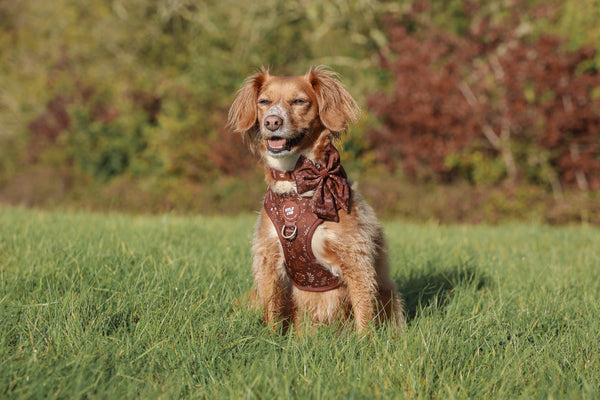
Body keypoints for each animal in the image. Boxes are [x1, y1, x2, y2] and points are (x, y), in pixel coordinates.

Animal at [227, 66, 406, 334]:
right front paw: (270, 339)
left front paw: (365, 342)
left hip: (389, 293)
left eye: (299, 101)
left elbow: (364, 311)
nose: (272, 121)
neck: (295, 180)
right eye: (264, 102)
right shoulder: (267, 259)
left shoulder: (356, 258)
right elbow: (272, 312)